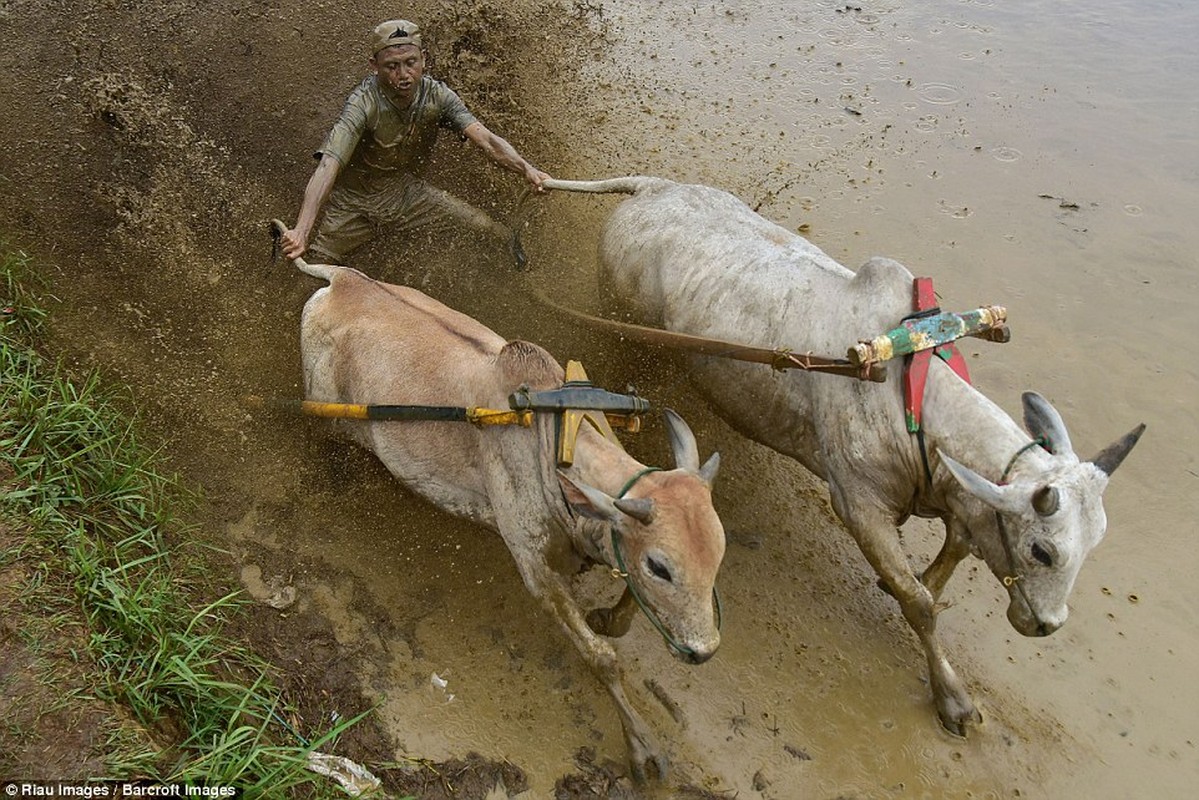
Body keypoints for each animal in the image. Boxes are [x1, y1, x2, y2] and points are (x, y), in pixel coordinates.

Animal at [294, 260, 724, 777]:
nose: (705, 649)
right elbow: (601, 657)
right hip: (325, 418)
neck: (556, 440)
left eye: (717, 557)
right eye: (660, 567)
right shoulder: (535, 566)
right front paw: (644, 749)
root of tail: (343, 278)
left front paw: (609, 617)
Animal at [541, 176, 1141, 738]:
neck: (910, 392)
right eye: (1042, 551)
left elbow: (947, 559)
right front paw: (954, 700)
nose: (1047, 625)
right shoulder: (858, 504)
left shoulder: (955, 498)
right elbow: (920, 603)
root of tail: (655, 188)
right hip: (623, 328)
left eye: (1095, 542)